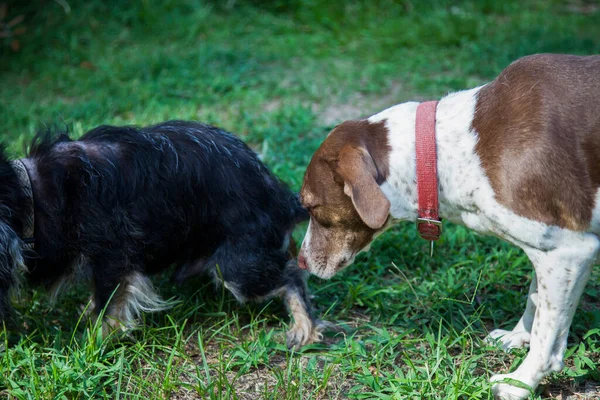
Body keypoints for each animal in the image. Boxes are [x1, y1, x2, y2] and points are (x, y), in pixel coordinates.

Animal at [0, 120, 326, 348]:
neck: (30, 193)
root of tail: (283, 198)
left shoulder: (113, 254)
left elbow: (108, 303)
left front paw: (95, 343)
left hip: (237, 267)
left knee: (291, 275)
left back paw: (303, 328)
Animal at [298, 54, 600, 400]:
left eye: (309, 206)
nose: (300, 261)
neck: (448, 152)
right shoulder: (547, 250)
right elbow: (535, 300)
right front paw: (517, 336)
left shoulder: (569, 251)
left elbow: (546, 337)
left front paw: (520, 383)